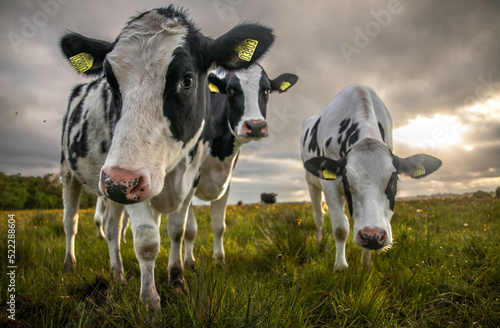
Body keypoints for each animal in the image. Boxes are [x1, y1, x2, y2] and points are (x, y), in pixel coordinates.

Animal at [60, 5, 276, 312]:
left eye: (187, 80)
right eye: (111, 81)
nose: (255, 126)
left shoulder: (190, 178)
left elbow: (178, 230)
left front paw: (177, 279)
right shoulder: (133, 183)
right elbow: (147, 240)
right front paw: (150, 302)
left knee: (113, 228)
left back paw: (117, 274)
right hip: (75, 172)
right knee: (71, 221)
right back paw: (70, 265)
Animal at [298, 84, 440, 272]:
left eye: (394, 180)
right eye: (345, 181)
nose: (372, 236)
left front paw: (366, 265)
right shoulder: (330, 185)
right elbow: (340, 227)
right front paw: (340, 267)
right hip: (311, 183)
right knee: (318, 217)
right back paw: (318, 246)